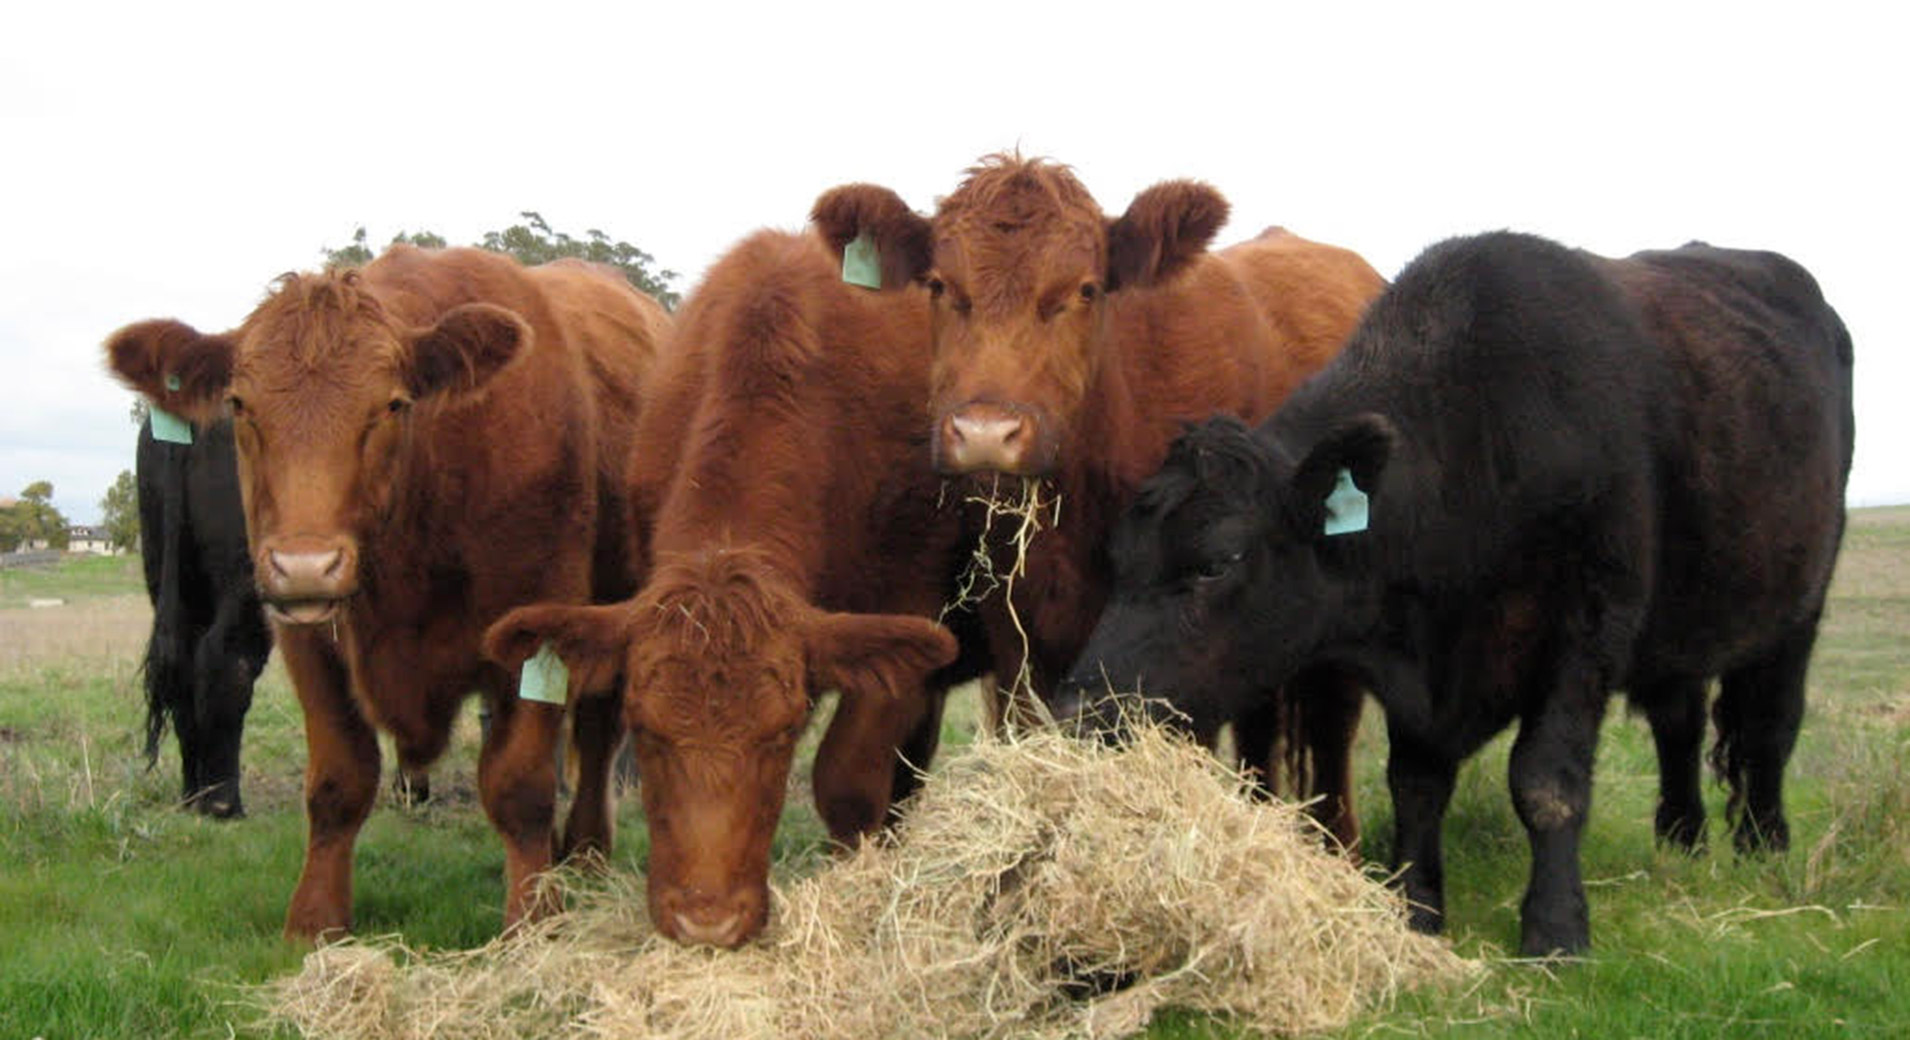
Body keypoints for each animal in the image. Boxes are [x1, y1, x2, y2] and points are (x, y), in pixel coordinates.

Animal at [136, 416, 273, 820]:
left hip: (168, 571)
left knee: (183, 673)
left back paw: (191, 797)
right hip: (245, 577)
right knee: (226, 662)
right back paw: (223, 804)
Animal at [1061, 230, 1848, 954]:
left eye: (1217, 562)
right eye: (1117, 557)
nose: (1082, 718)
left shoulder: (1587, 629)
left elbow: (1545, 780)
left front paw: (1555, 929)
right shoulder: (1420, 665)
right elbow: (1415, 784)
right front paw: (1415, 911)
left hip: (1801, 603)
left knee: (1771, 723)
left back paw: (1763, 845)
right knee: (1678, 722)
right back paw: (1681, 838)